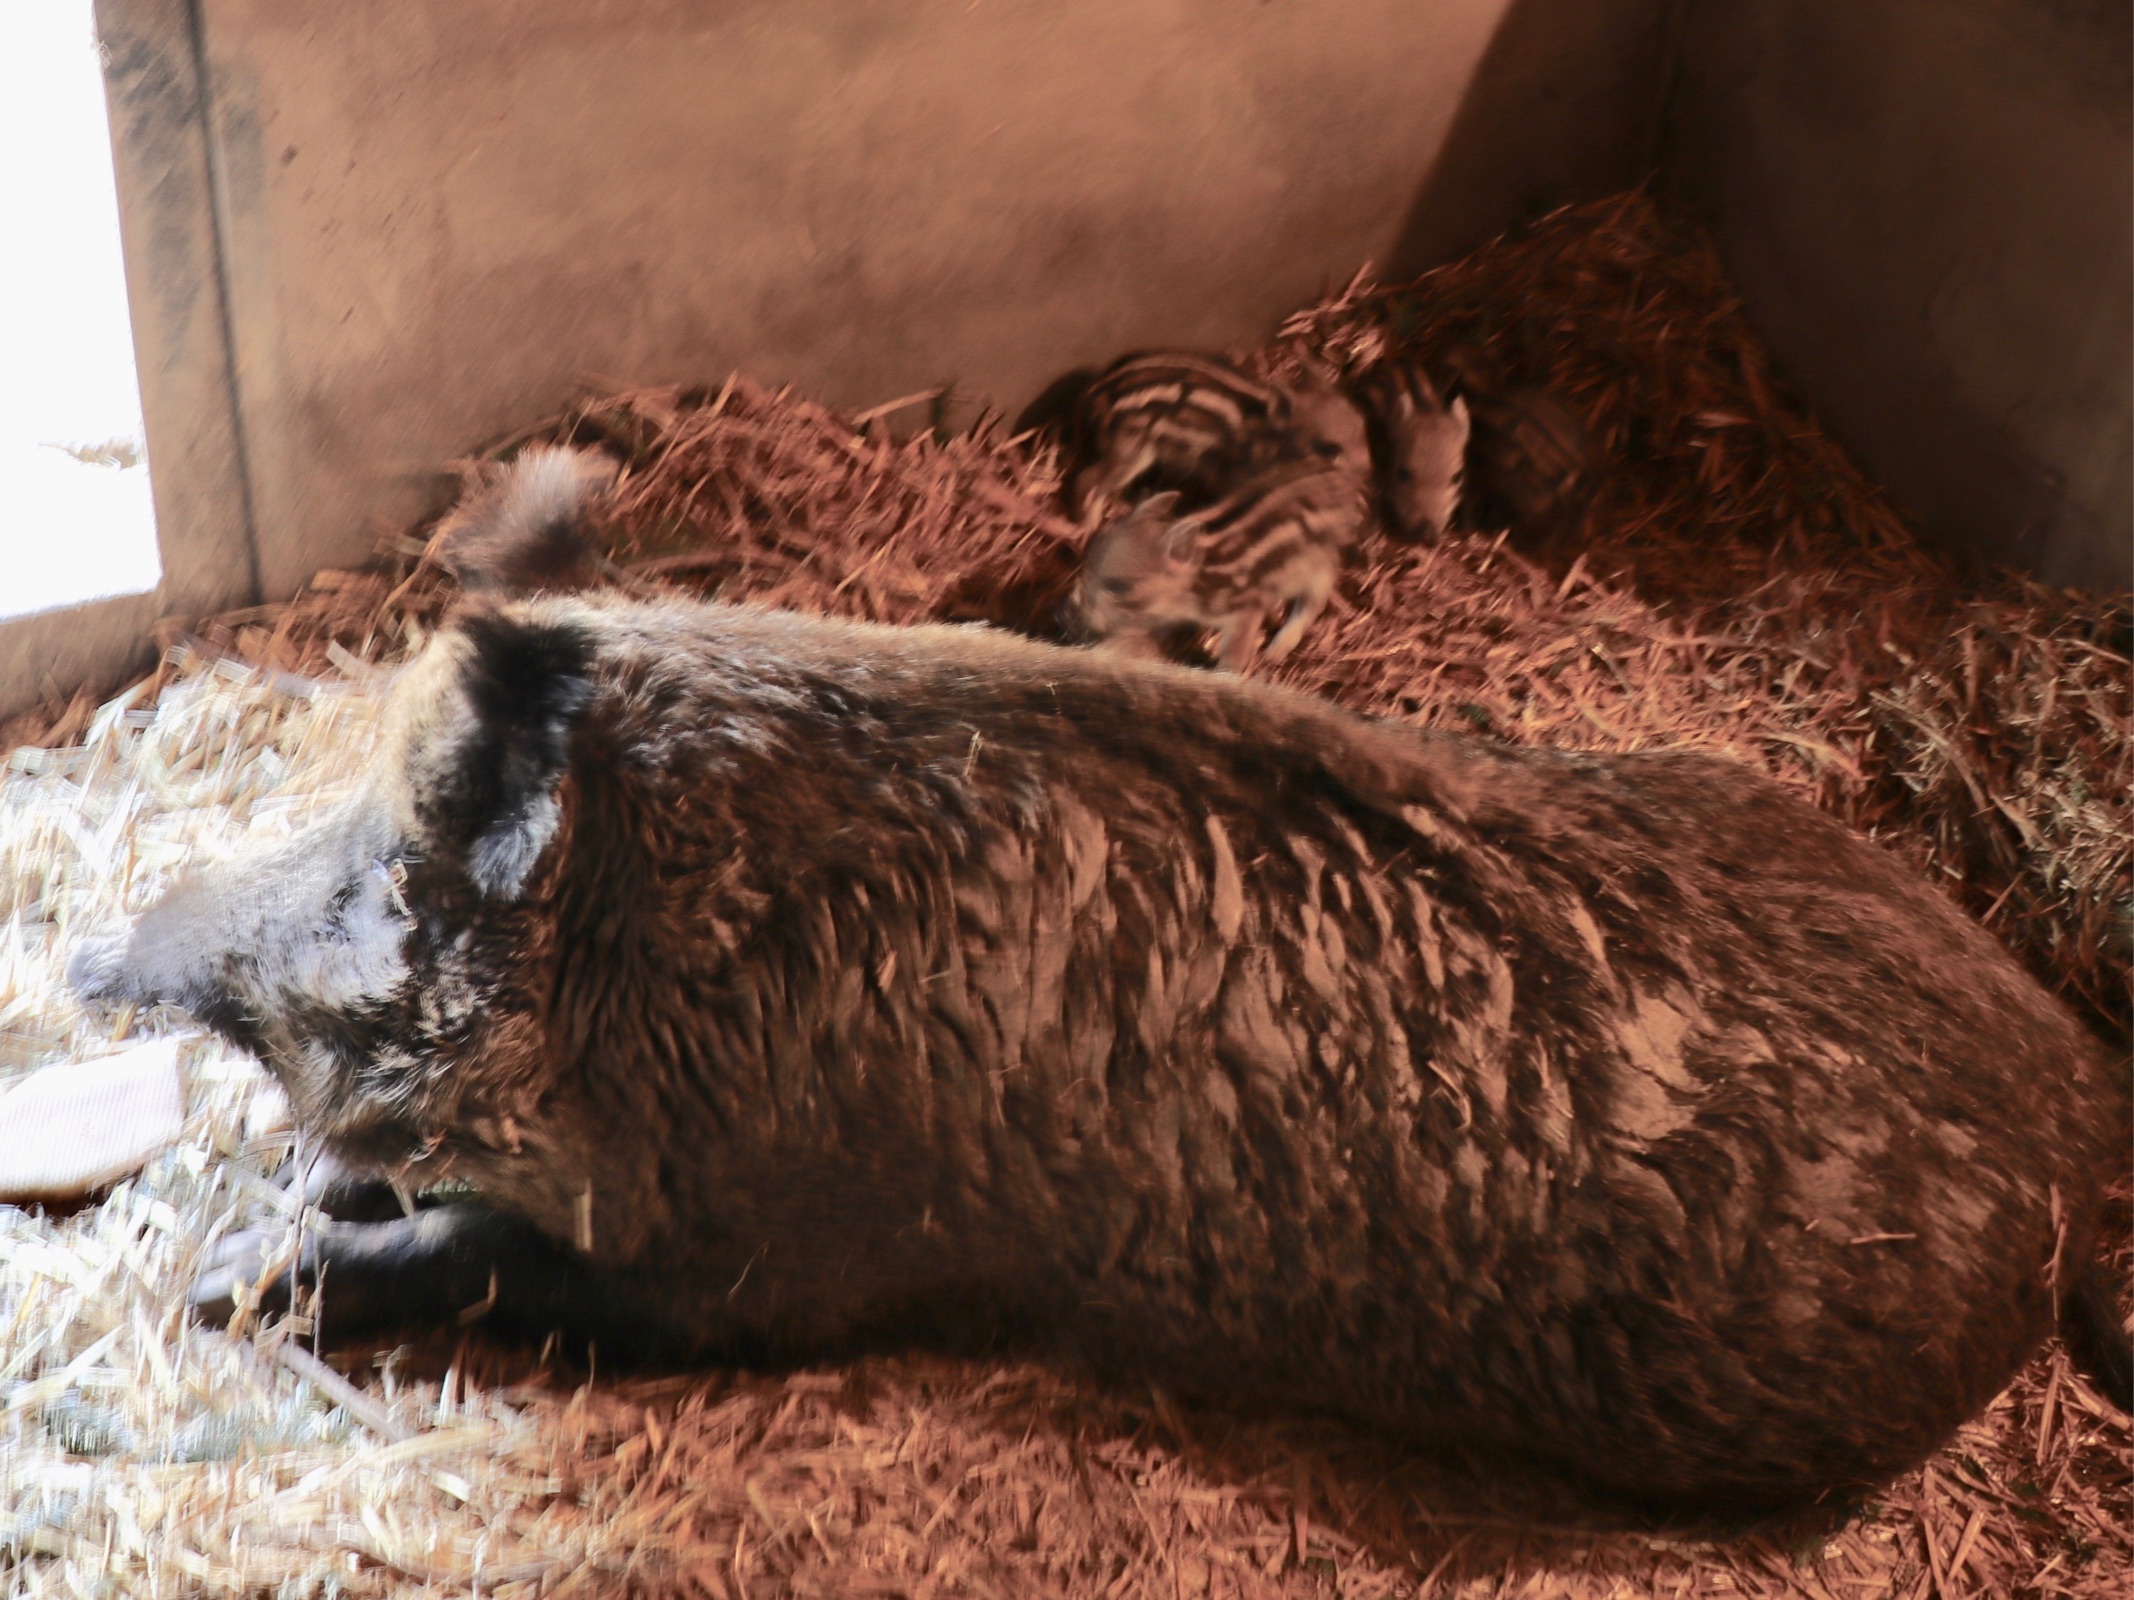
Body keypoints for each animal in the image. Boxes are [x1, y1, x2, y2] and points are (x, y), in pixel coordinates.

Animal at [71, 452, 2127, 1518]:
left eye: (394, 876)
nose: (104, 953)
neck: (693, 962)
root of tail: (2071, 1107)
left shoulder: (760, 1269)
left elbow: (497, 1264)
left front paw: (236, 1271)